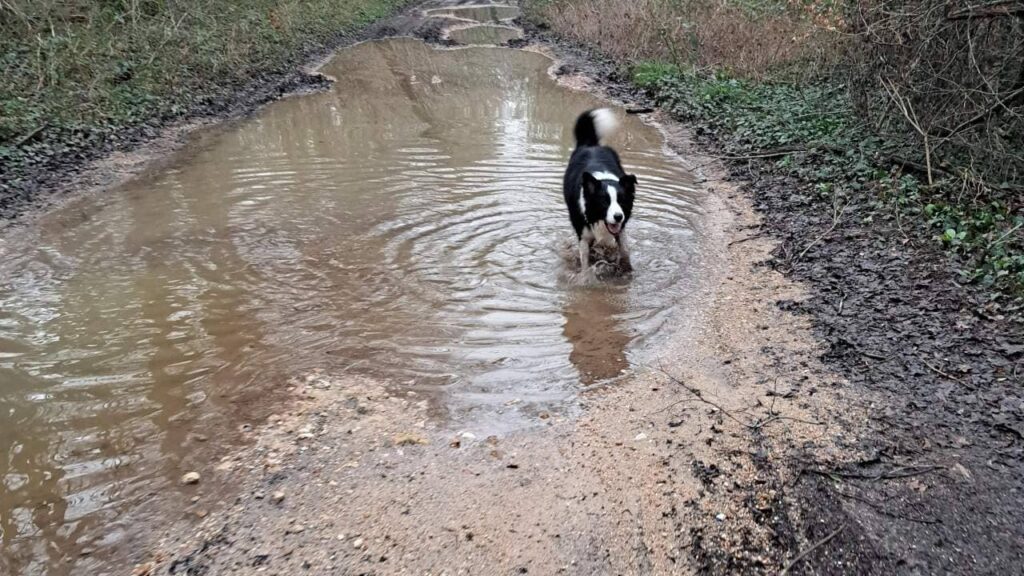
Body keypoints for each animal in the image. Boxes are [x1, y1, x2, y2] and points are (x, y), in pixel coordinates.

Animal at [565, 108, 634, 272]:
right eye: (604, 202)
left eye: (621, 201)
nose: (618, 217)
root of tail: (590, 144)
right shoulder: (583, 232)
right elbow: (585, 259)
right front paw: (585, 275)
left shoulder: (620, 229)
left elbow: (624, 250)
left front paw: (627, 270)